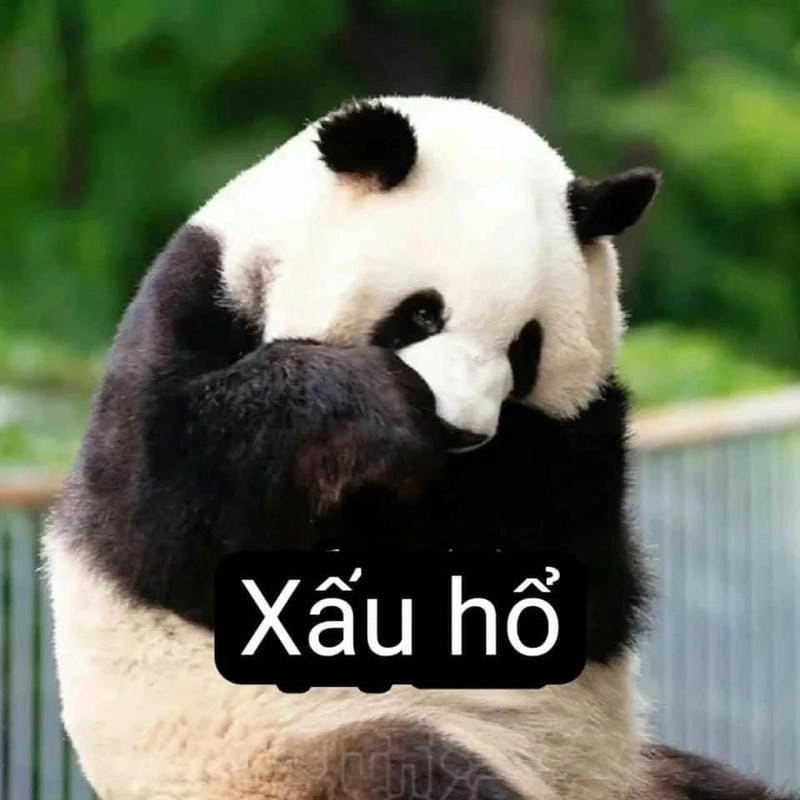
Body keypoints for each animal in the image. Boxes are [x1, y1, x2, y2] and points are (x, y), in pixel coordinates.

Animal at [44, 96, 798, 800]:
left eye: (526, 347)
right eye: (422, 313)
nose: (461, 430)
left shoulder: (582, 455)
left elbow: (589, 595)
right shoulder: (190, 309)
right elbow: (161, 510)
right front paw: (375, 413)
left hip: (633, 764)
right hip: (298, 746)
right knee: (416, 771)